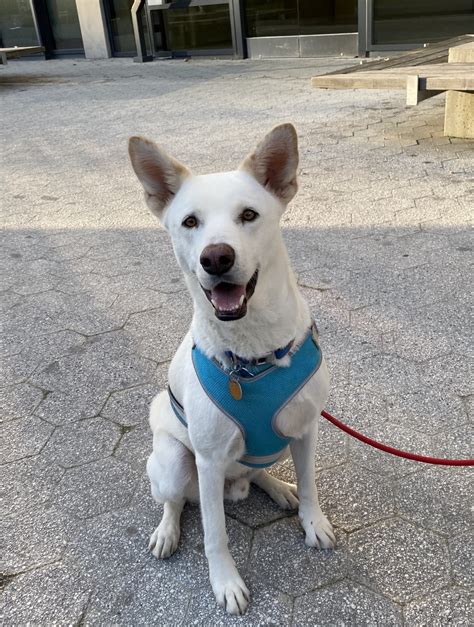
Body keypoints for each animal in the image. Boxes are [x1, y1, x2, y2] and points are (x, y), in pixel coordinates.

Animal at [130, 125, 336, 616]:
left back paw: (277, 487)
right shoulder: (205, 461)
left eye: (248, 214)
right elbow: (215, 535)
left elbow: (311, 485)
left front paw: (312, 519)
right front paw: (225, 582)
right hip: (175, 462)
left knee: (256, 470)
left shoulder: (306, 430)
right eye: (190, 222)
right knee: (174, 502)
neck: (253, 358)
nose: (216, 258)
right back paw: (167, 531)